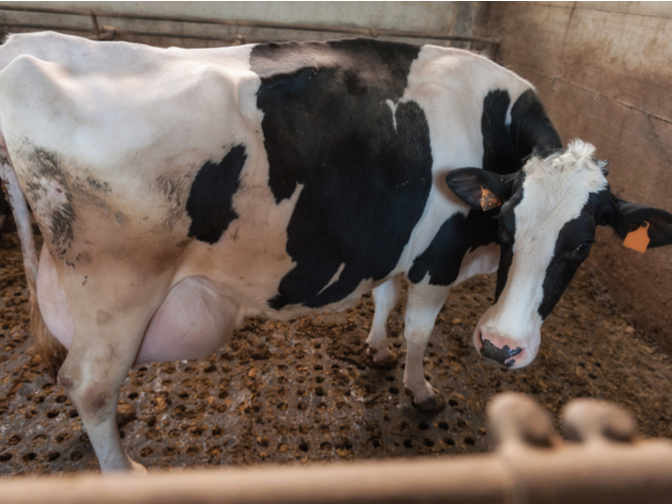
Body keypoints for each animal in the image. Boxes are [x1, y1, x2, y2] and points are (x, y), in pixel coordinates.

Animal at [1, 32, 671, 474]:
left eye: (581, 244)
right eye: (504, 226)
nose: (500, 347)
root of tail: (28, 43)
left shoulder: (392, 240)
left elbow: (384, 296)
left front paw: (375, 350)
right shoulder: (438, 254)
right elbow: (419, 328)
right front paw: (419, 389)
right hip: (116, 290)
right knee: (88, 385)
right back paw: (125, 472)